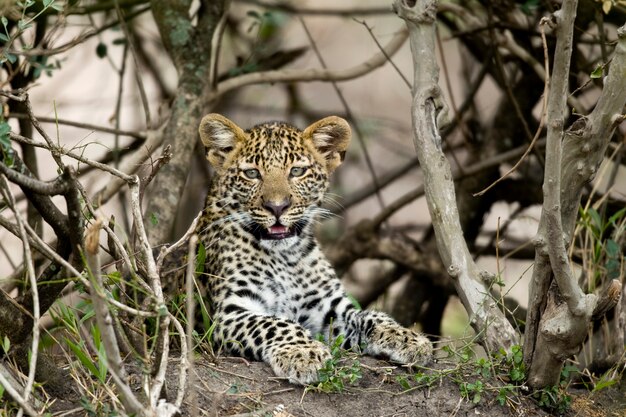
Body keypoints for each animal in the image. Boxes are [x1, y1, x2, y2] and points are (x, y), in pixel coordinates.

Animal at [183, 114, 432, 384]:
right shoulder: (229, 312)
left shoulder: (328, 306)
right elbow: (274, 324)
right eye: (252, 173)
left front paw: (407, 337)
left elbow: (369, 315)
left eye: (297, 171)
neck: (283, 256)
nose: (277, 207)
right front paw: (302, 352)